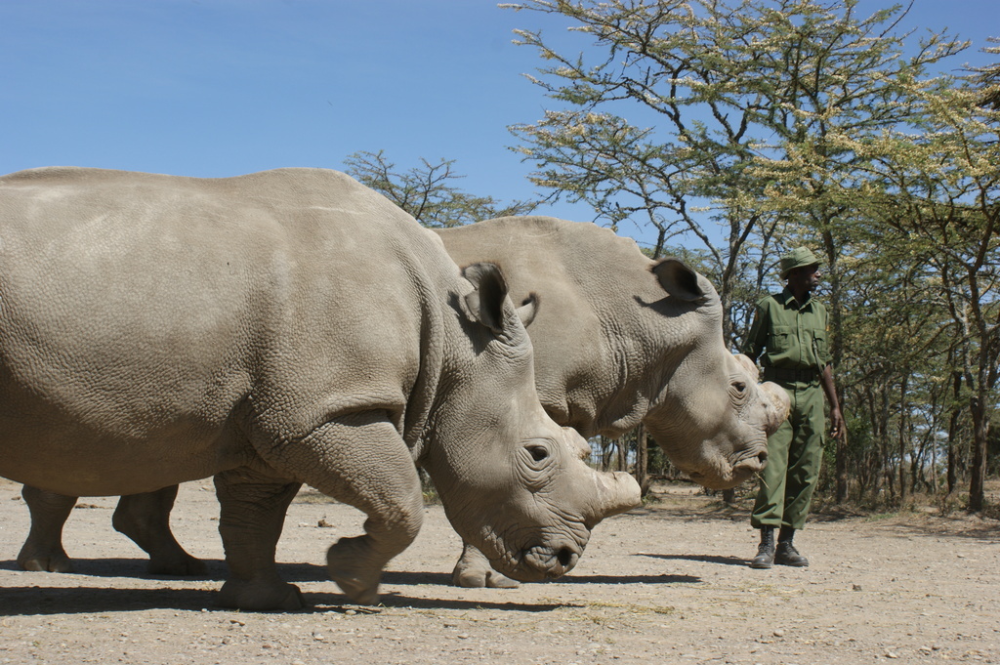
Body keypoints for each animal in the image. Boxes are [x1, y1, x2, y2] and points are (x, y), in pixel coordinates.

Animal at [0, 169, 640, 608]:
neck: (457, 349)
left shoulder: (275, 413)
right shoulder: (328, 409)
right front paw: (350, 576)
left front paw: (268, 600)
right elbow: (402, 499)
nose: (566, 558)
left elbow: (254, 513)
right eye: (537, 454)